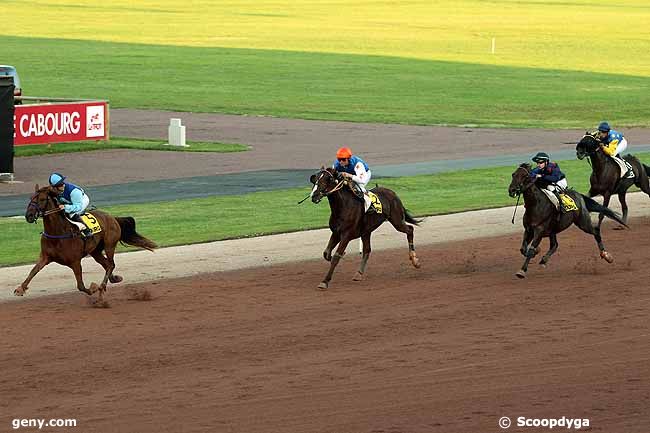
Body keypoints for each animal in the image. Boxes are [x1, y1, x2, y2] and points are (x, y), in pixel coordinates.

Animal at [14, 184, 157, 302]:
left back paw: (101, 290)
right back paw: (114, 279)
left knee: (111, 264)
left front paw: (93, 289)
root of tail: (112, 217)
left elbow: (81, 286)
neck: (58, 233)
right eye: (31, 198)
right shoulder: (45, 257)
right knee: (107, 265)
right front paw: (20, 289)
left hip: (110, 245)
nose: (29, 215)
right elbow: (33, 271)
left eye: (42, 199)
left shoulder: (75, 261)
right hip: (95, 251)